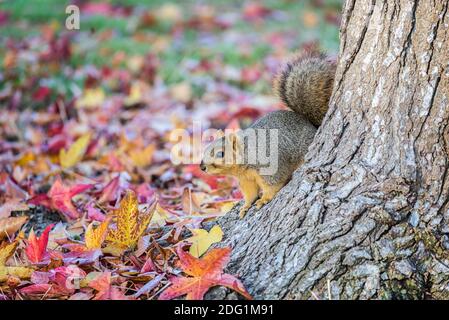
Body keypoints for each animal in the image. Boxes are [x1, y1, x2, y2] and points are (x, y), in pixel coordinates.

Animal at [201, 50, 334, 218]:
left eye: (221, 154)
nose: (201, 167)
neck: (246, 154)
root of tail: (312, 125)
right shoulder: (246, 179)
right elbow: (250, 193)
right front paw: (246, 206)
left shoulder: (270, 166)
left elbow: (273, 186)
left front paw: (264, 199)